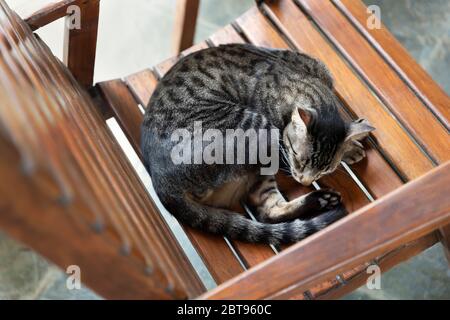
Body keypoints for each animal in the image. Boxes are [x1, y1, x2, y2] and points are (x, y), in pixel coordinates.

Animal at [142, 44, 374, 245]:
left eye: (325, 170)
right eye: (297, 157)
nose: (305, 181)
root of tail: (161, 184)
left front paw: (357, 133)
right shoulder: (279, 143)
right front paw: (352, 148)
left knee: (268, 212)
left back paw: (321, 199)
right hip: (259, 129)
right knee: (265, 213)